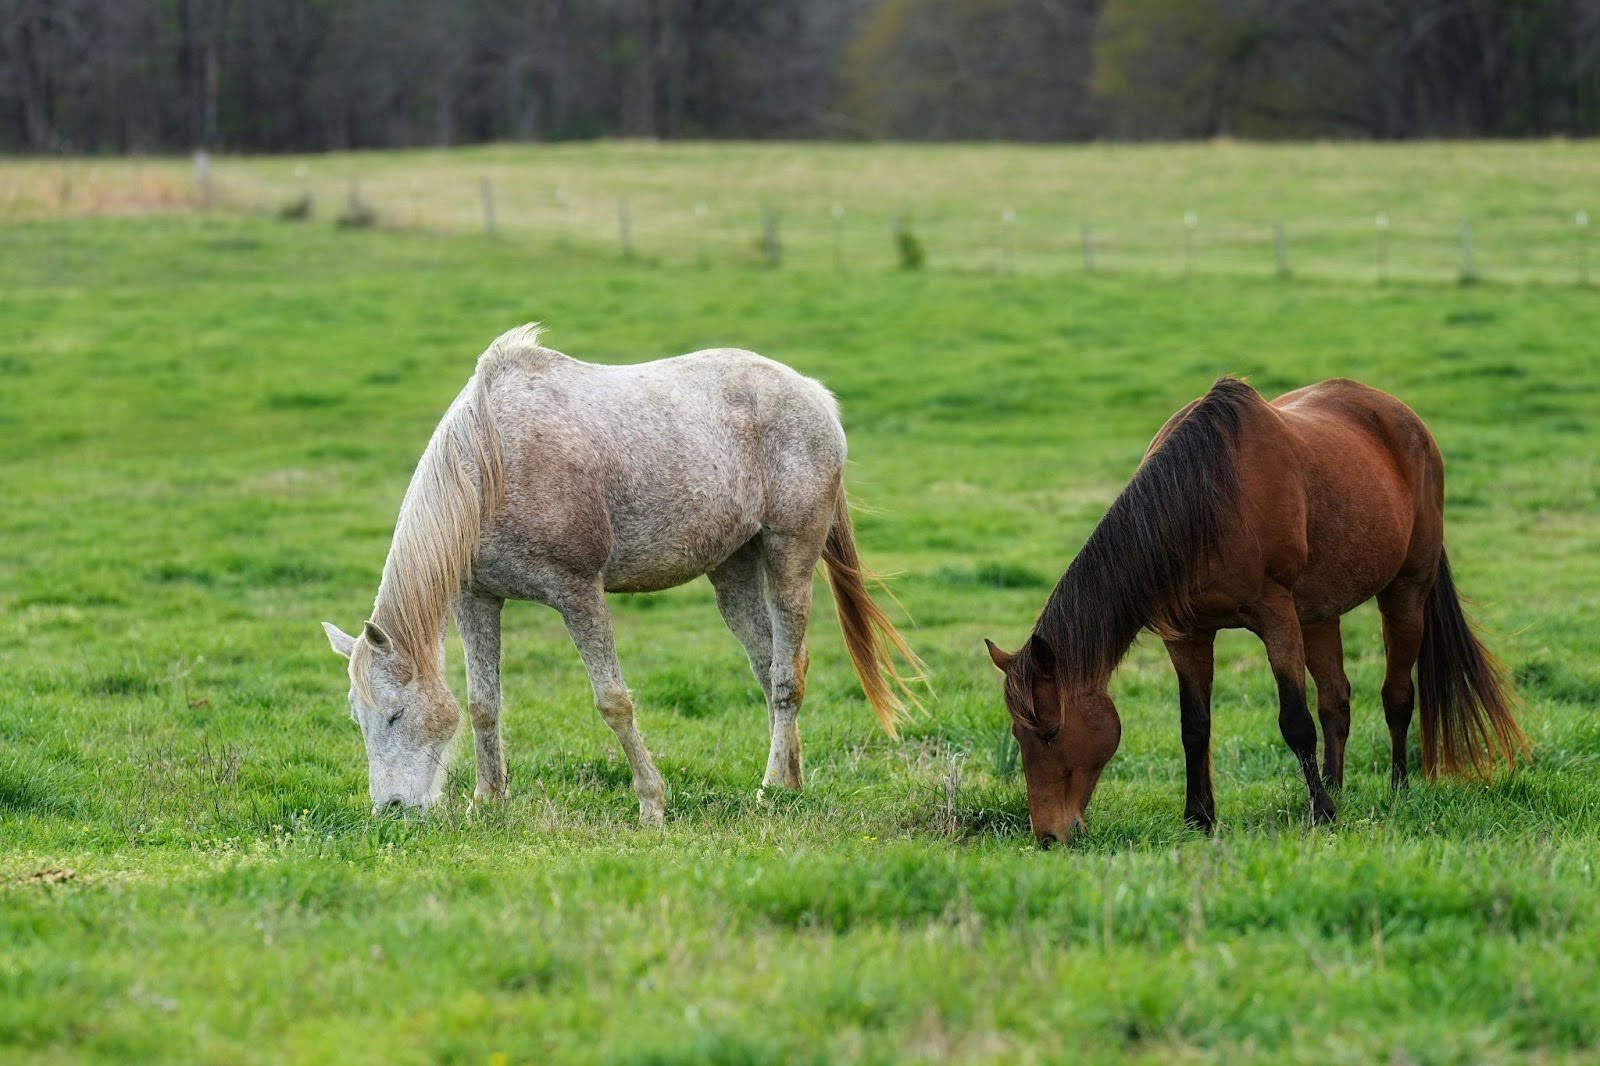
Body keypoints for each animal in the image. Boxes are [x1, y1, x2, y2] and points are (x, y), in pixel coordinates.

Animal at [322, 324, 921, 822]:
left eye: (395, 715)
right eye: (357, 717)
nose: (391, 809)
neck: (492, 466)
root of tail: (815, 395)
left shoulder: (577, 593)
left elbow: (613, 701)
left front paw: (651, 804)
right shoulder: (477, 600)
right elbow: (481, 704)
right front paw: (489, 800)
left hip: (790, 554)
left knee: (786, 674)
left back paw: (772, 785)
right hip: (733, 570)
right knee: (766, 663)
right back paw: (788, 782)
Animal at [985, 377, 1527, 846]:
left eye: (1051, 732)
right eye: (1017, 734)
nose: (1049, 836)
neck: (1203, 504)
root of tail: (1407, 422)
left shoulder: (1276, 615)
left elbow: (1295, 721)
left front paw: (1321, 814)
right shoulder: (1187, 636)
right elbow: (1194, 727)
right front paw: (1199, 817)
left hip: (1405, 592)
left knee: (1396, 696)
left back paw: (1396, 789)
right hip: (1319, 613)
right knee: (1336, 700)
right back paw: (1337, 784)